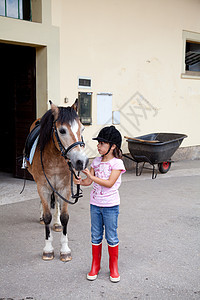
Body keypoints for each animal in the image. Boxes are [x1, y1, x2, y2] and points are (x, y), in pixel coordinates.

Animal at [26, 99, 88, 262]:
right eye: (62, 130)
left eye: (82, 129)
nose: (81, 161)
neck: (54, 157)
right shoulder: (43, 186)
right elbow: (47, 215)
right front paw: (48, 249)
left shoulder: (65, 188)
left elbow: (65, 216)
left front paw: (65, 250)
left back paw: (57, 223)